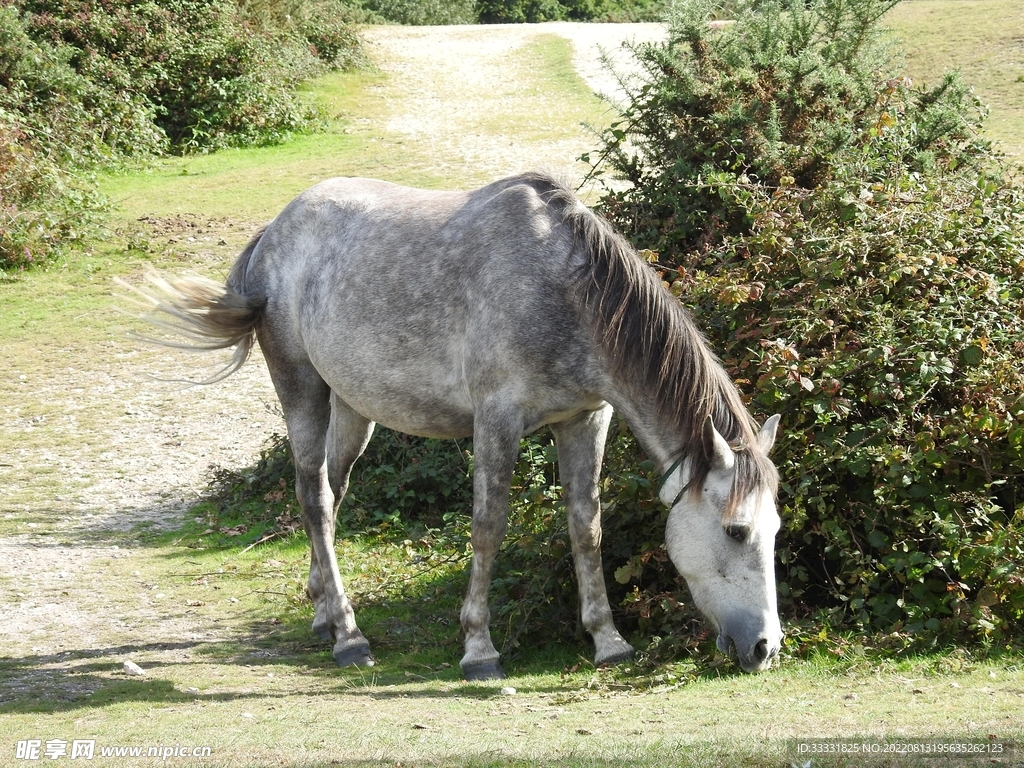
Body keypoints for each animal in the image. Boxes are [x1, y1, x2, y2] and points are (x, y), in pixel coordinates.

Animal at [125, 171, 783, 679]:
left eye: (774, 530)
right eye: (736, 532)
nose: (764, 648)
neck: (564, 291)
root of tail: (272, 234)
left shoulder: (586, 418)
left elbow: (586, 528)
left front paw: (609, 641)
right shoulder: (498, 420)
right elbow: (488, 528)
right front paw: (478, 649)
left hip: (354, 410)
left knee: (330, 494)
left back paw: (323, 611)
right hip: (301, 390)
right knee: (313, 498)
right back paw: (349, 637)